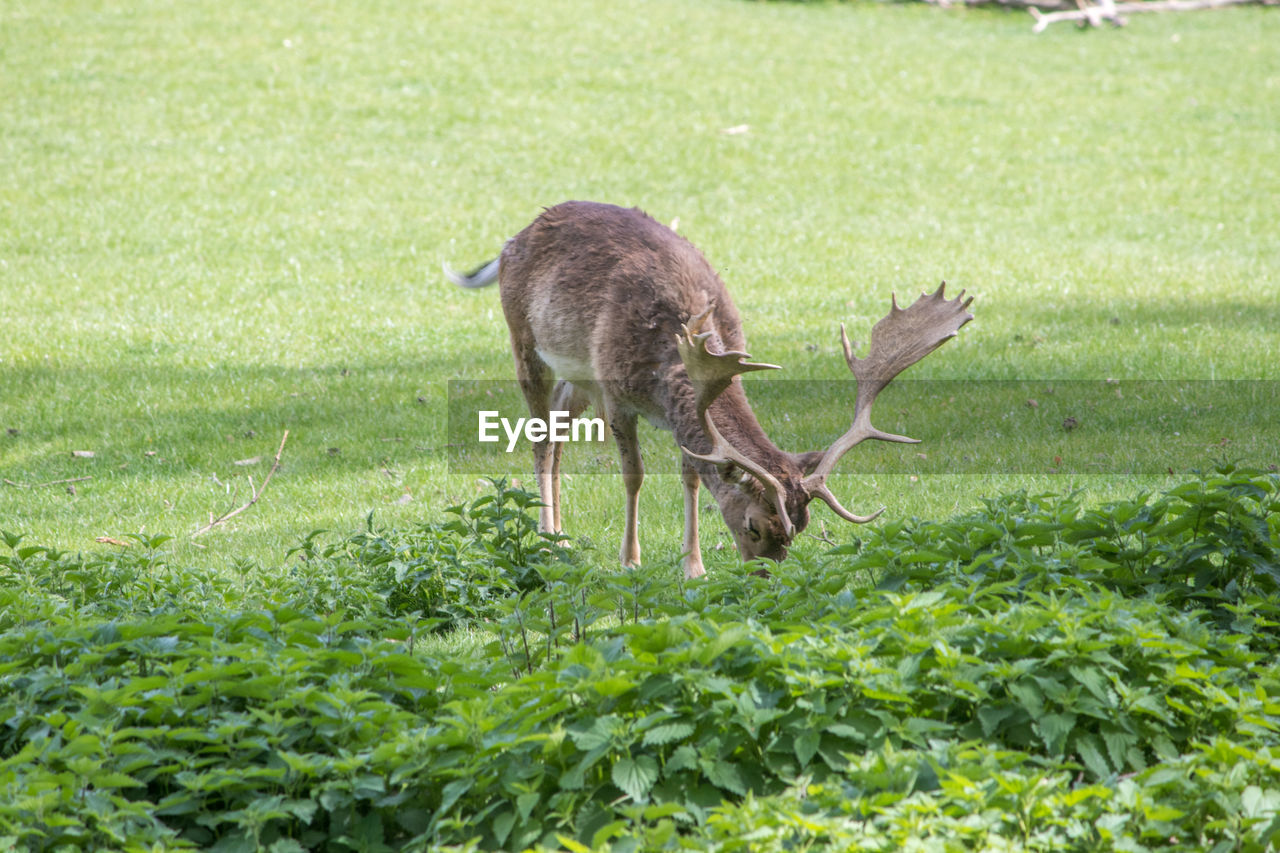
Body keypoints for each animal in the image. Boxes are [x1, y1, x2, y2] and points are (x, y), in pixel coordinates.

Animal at [445, 199, 972, 578]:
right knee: (538, 433)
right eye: (754, 525)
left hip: (578, 378)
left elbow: (692, 476)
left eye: (799, 529)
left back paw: (561, 536)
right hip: (526, 341)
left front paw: (693, 567)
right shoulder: (616, 394)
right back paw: (546, 539)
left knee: (556, 433)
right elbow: (634, 475)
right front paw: (630, 561)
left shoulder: (679, 413)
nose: (766, 577)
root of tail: (514, 237)